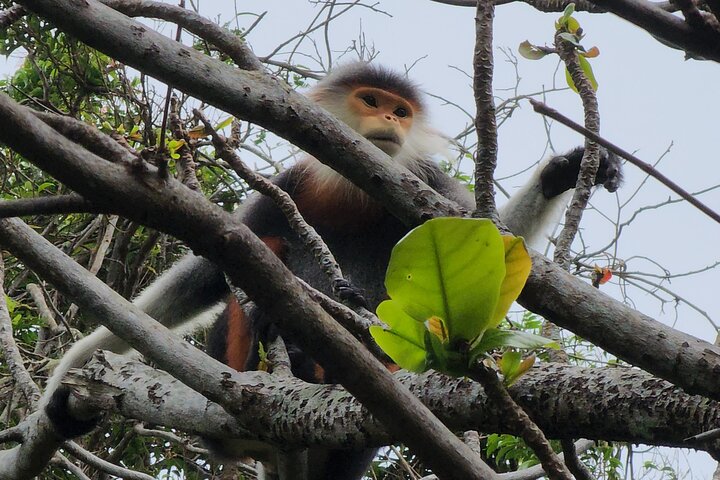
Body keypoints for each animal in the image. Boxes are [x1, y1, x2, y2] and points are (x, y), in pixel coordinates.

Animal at [39, 62, 622, 479]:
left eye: (401, 111)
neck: (352, 195)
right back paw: (278, 336)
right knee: (259, 262)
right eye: (371, 100)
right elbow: (207, 268)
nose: (388, 120)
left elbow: (494, 254)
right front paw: (67, 381)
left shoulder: (426, 185)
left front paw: (562, 172)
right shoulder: (286, 187)